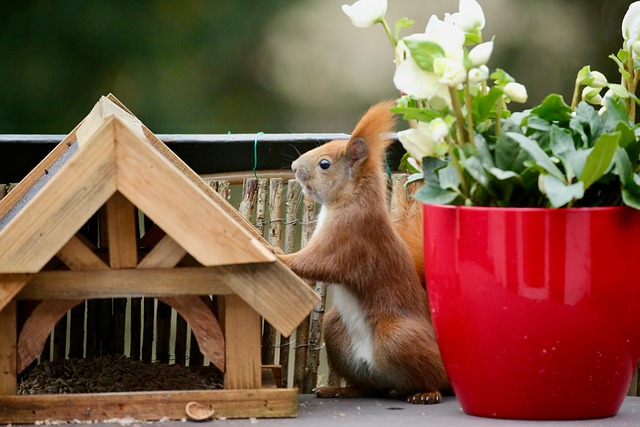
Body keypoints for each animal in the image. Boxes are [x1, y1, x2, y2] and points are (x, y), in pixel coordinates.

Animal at [278, 101, 449, 404]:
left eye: (325, 164)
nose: (294, 167)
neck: (351, 198)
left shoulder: (348, 239)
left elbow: (315, 262)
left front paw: (276, 253)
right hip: (337, 331)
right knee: (370, 388)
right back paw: (340, 389)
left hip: (397, 337)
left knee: (436, 378)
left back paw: (427, 392)